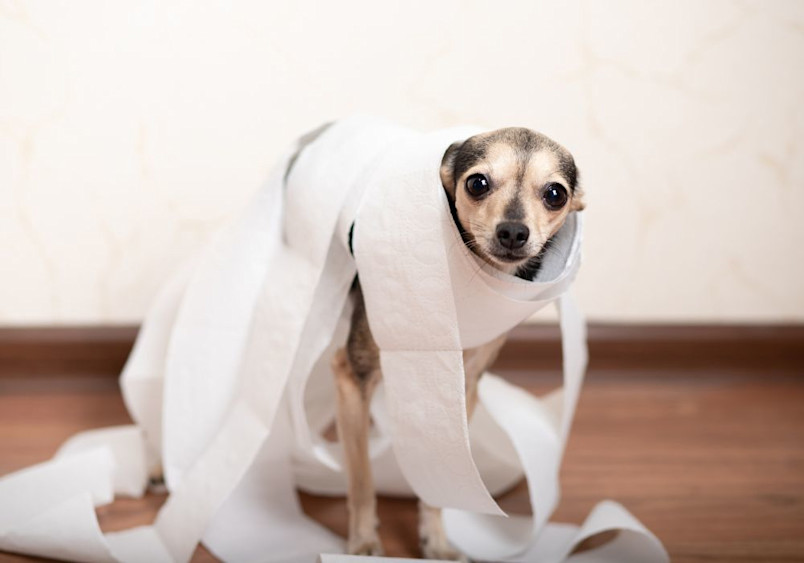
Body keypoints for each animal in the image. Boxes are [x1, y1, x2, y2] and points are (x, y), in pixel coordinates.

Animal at [282, 123, 584, 560]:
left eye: (555, 193)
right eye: (477, 183)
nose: (513, 231)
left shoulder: (463, 386)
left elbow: (444, 474)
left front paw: (436, 540)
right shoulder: (351, 374)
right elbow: (361, 478)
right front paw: (363, 543)